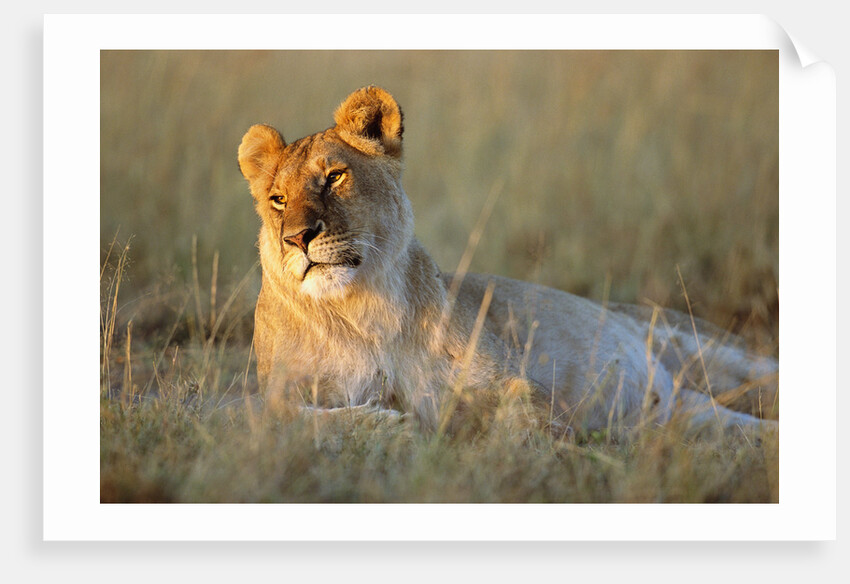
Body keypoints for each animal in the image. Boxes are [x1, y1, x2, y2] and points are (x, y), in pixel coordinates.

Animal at [237, 86, 777, 436]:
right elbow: (278, 419)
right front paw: (382, 425)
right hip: (700, 419)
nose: (298, 239)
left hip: (717, 352)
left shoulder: (510, 380)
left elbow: (528, 419)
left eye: (334, 177)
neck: (362, 308)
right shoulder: (275, 393)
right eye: (278, 200)